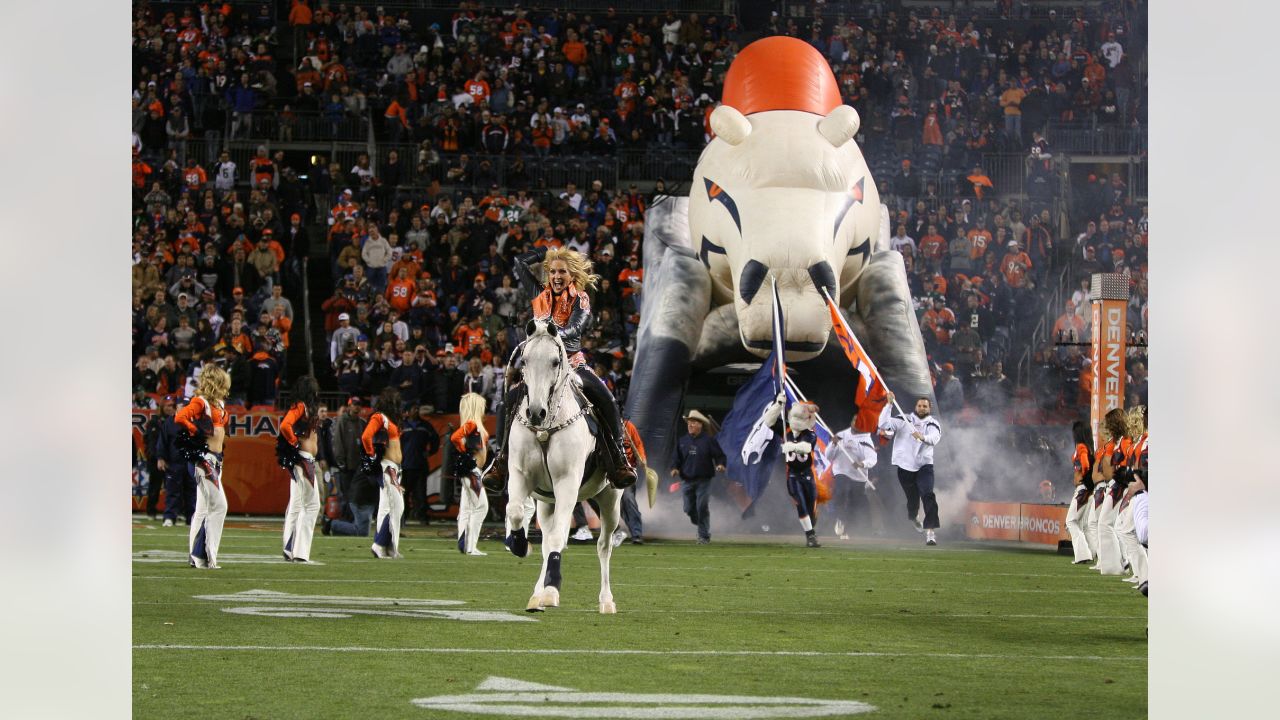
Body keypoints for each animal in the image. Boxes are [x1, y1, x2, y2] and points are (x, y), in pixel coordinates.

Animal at [499, 322, 624, 614]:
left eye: (555, 361)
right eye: (524, 360)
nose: (535, 413)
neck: (546, 428)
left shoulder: (567, 480)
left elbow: (559, 538)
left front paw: (552, 588)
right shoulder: (520, 475)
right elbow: (515, 512)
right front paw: (519, 545)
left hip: (611, 499)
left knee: (604, 545)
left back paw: (606, 601)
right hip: (547, 503)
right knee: (547, 541)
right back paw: (536, 595)